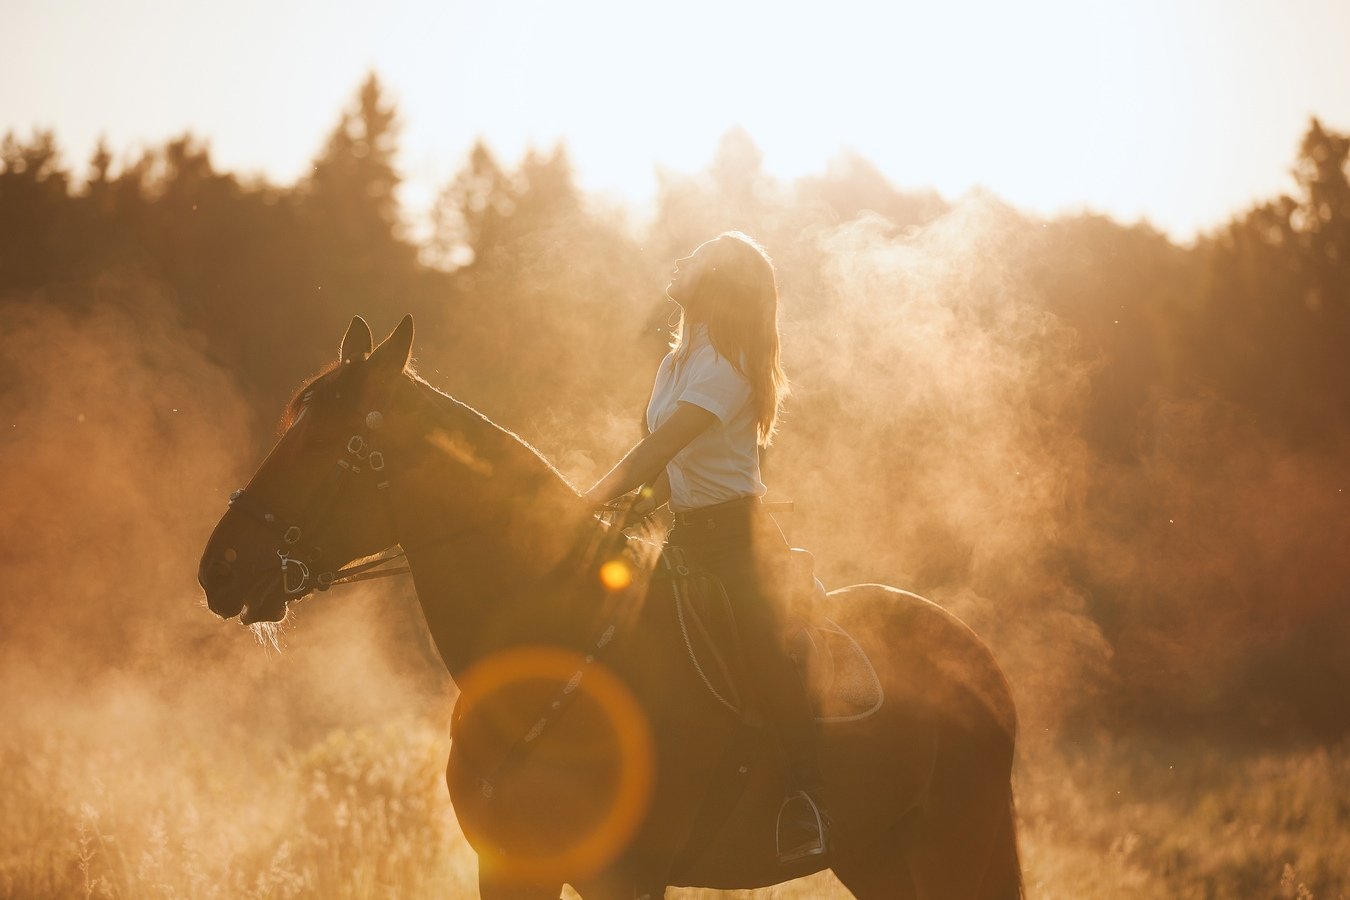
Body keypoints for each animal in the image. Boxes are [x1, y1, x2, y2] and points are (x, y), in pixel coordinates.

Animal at [197, 317, 1020, 900]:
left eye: (327, 443)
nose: (218, 569)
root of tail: (980, 659)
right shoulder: (509, 868)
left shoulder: (622, 878)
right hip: (878, 856)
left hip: (952, 848)